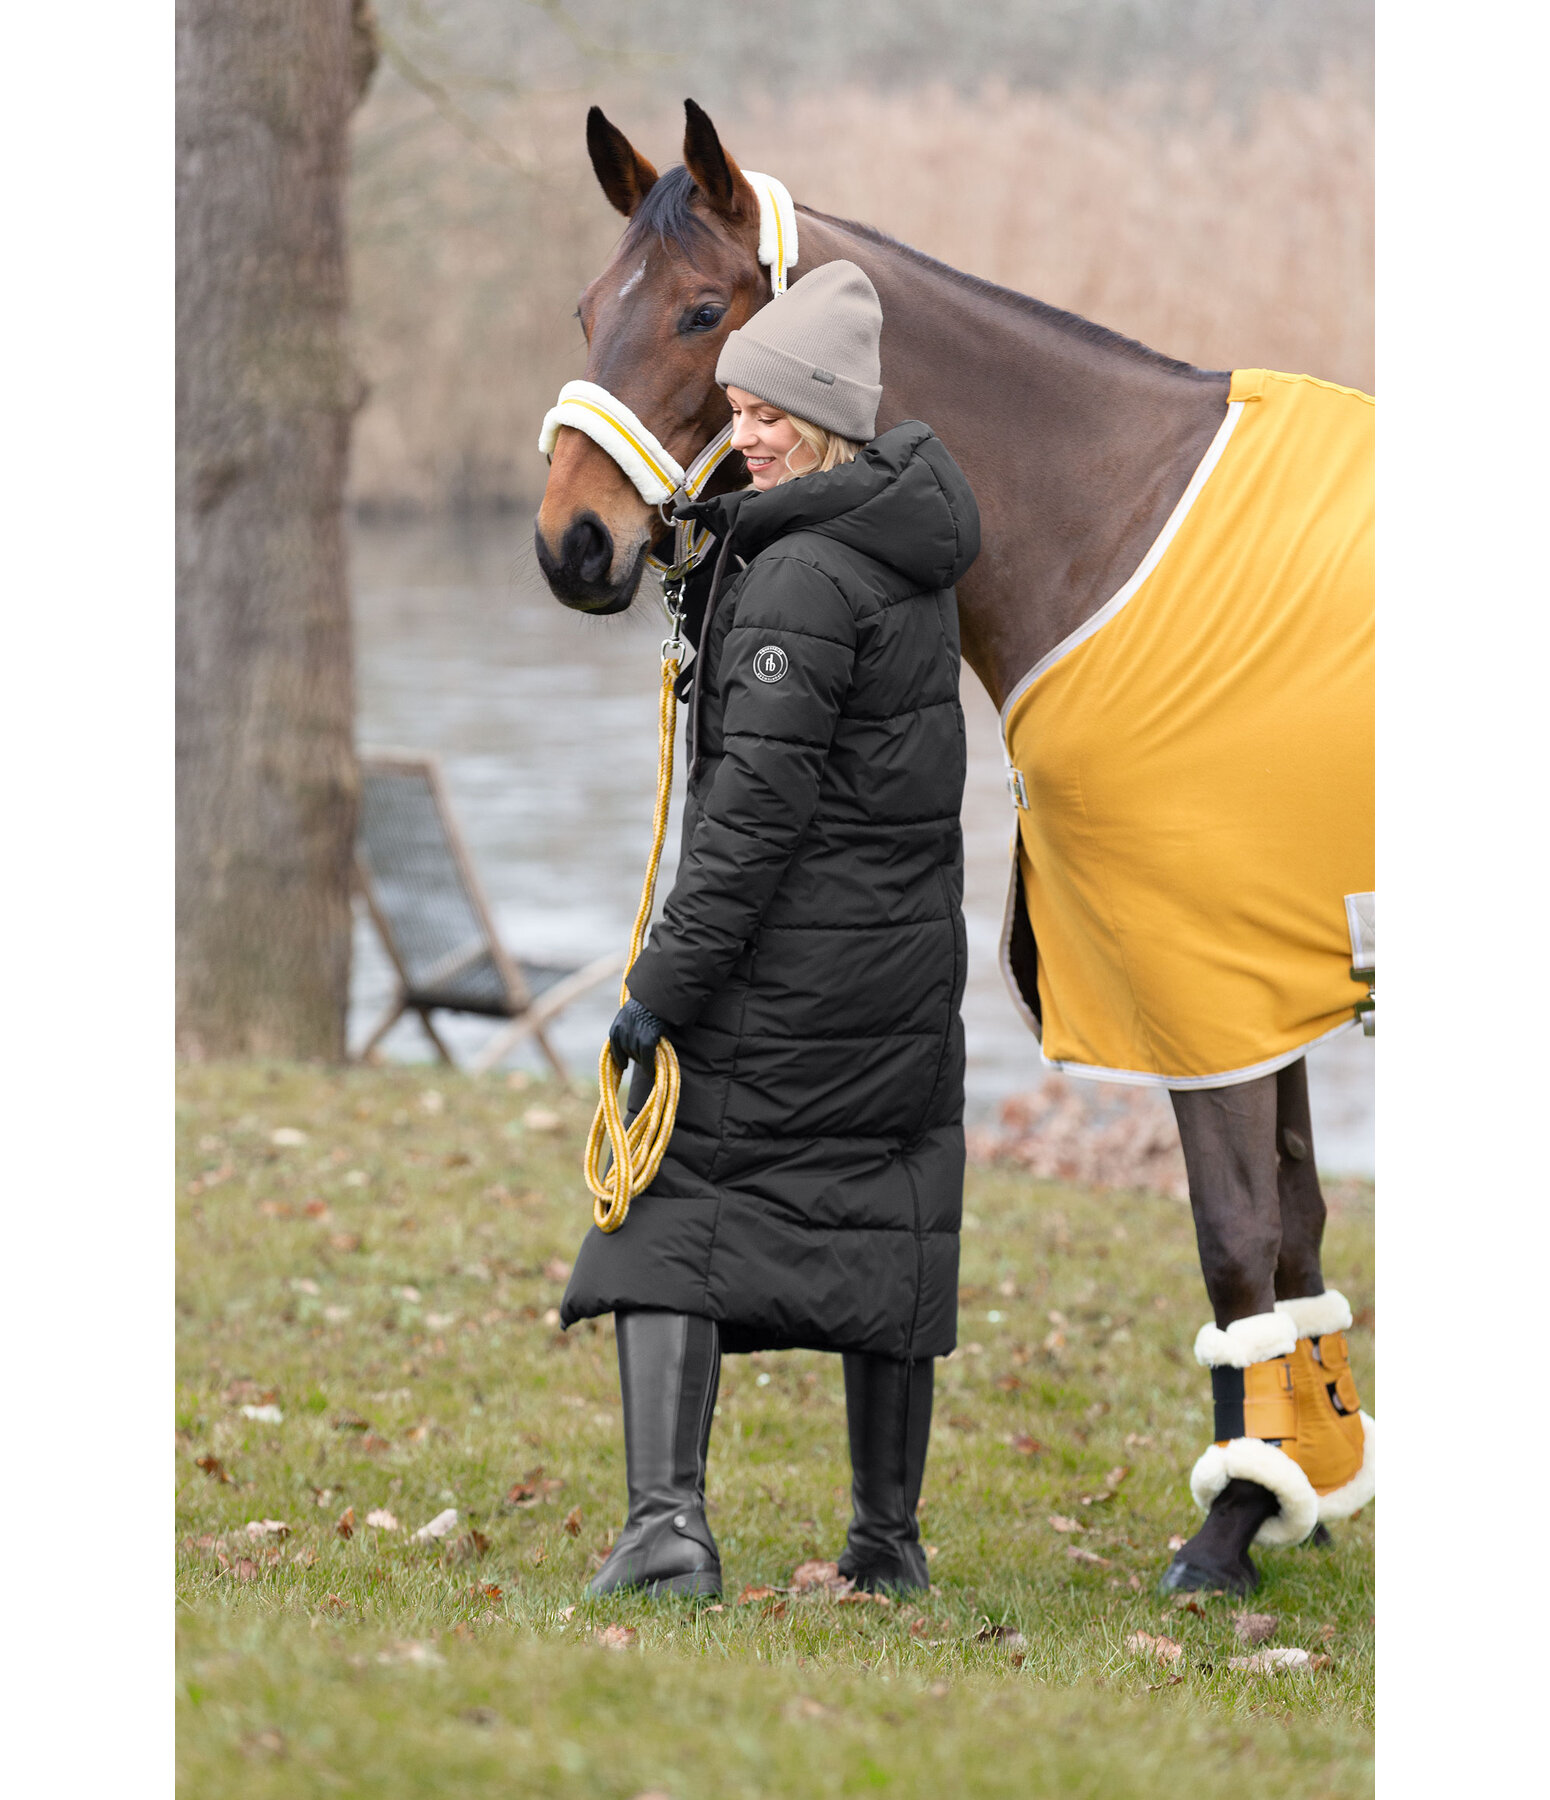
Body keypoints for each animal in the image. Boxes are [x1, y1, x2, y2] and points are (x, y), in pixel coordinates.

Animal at [529, 102, 1368, 1591]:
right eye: (586, 306)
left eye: (701, 311)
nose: (571, 543)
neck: (1119, 530)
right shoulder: (1262, 989)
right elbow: (1295, 1228)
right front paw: (1298, 1489)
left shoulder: (1197, 979)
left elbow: (1236, 1242)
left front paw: (1228, 1527)